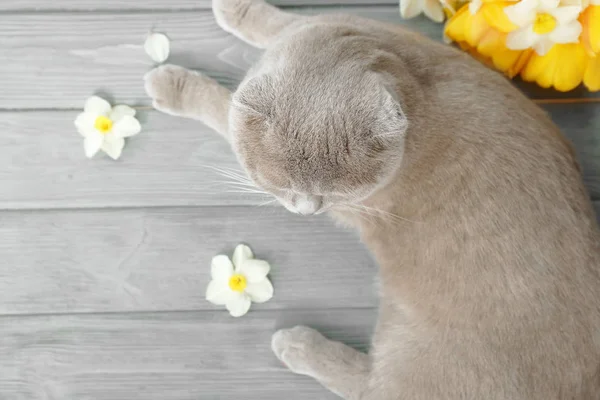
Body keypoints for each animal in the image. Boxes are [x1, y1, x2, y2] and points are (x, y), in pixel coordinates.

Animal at [144, 1, 600, 398]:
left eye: (334, 194)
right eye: (285, 187)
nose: (307, 210)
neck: (414, 84)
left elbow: (219, 106)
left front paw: (173, 85)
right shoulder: (338, 25)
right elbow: (279, 23)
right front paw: (236, 9)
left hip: (418, 358)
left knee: (370, 388)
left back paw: (298, 345)